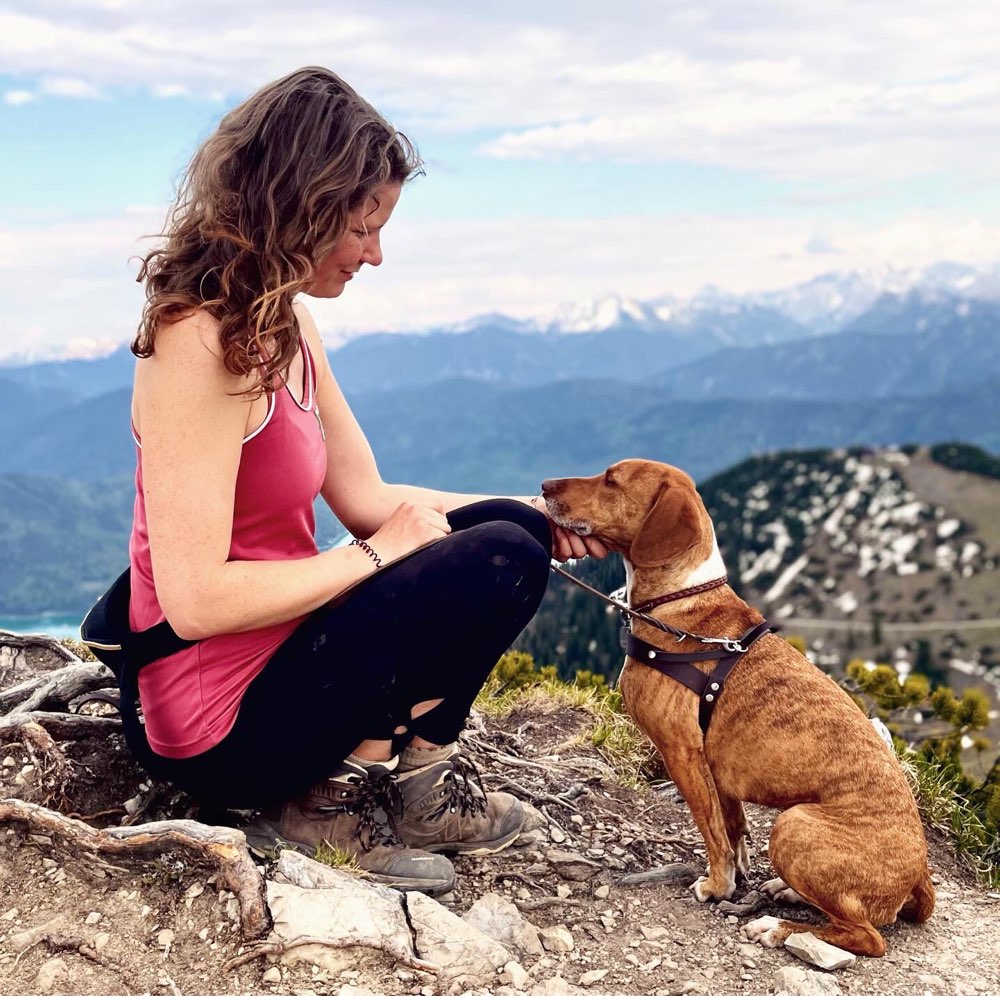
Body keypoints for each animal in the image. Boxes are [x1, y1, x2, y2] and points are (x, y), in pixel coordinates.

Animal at [544, 460, 932, 956]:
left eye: (612, 480)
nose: (544, 486)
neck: (680, 601)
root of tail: (920, 874)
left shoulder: (681, 753)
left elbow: (711, 831)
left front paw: (717, 885)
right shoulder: (719, 770)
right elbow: (733, 826)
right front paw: (738, 870)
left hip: (793, 823)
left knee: (865, 935)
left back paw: (776, 927)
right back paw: (788, 891)